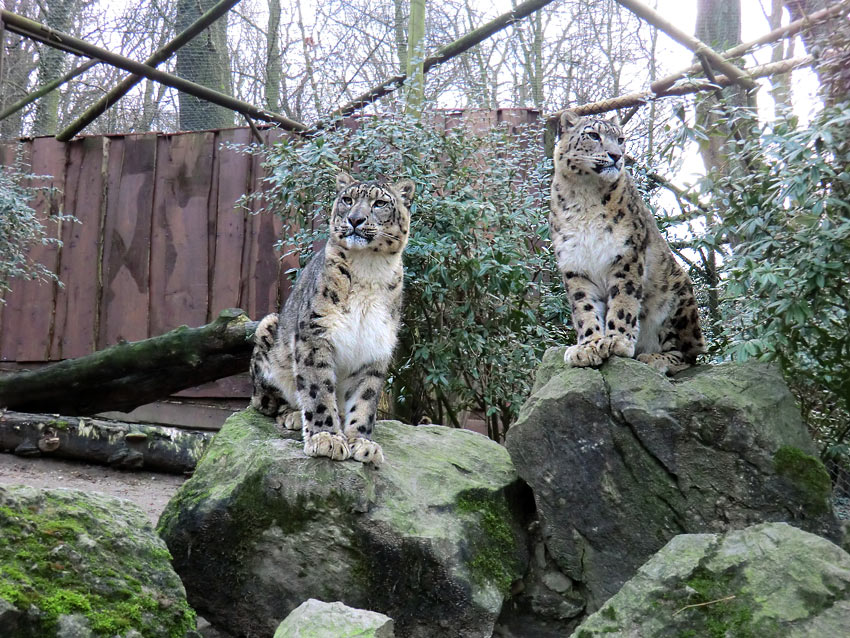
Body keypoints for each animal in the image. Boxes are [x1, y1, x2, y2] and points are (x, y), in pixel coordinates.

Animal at [248, 172, 414, 468]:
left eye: (380, 203)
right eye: (347, 199)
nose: (355, 219)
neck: (369, 270)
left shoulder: (376, 346)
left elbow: (364, 399)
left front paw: (362, 443)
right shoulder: (316, 334)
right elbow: (318, 389)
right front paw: (327, 439)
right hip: (268, 332)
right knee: (268, 401)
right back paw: (294, 415)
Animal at [548, 111, 704, 376]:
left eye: (620, 139)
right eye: (593, 135)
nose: (616, 155)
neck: (585, 195)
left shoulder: (626, 254)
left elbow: (623, 299)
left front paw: (616, 340)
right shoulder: (574, 265)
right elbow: (584, 307)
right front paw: (588, 346)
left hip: (678, 300)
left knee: (689, 354)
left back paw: (655, 358)